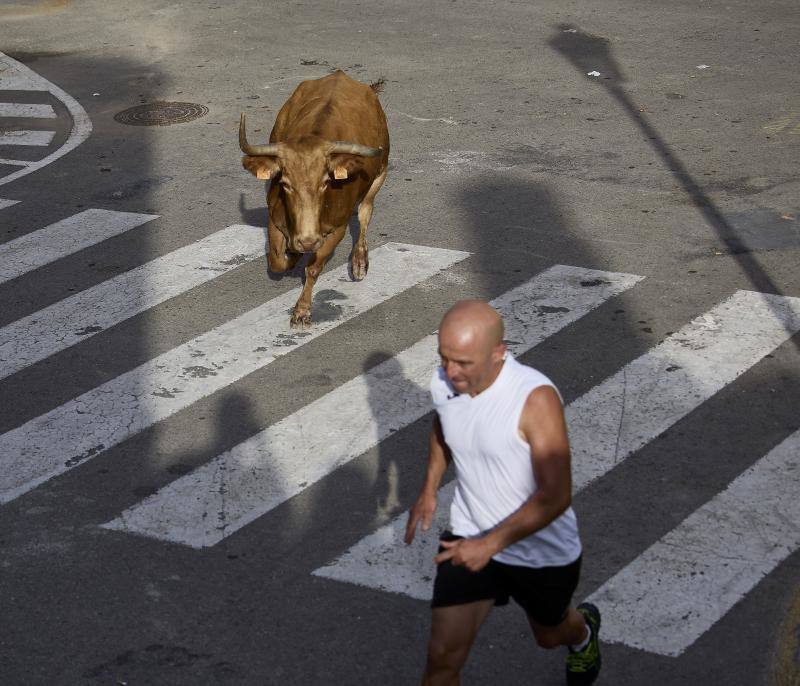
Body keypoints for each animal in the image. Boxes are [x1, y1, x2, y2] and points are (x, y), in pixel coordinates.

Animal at [238, 71, 390, 330]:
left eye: (326, 182)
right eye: (285, 183)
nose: (307, 241)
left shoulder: (336, 229)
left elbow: (313, 268)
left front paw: (302, 311)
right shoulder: (274, 219)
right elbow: (277, 261)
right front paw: (292, 253)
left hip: (380, 173)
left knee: (365, 212)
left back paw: (359, 262)